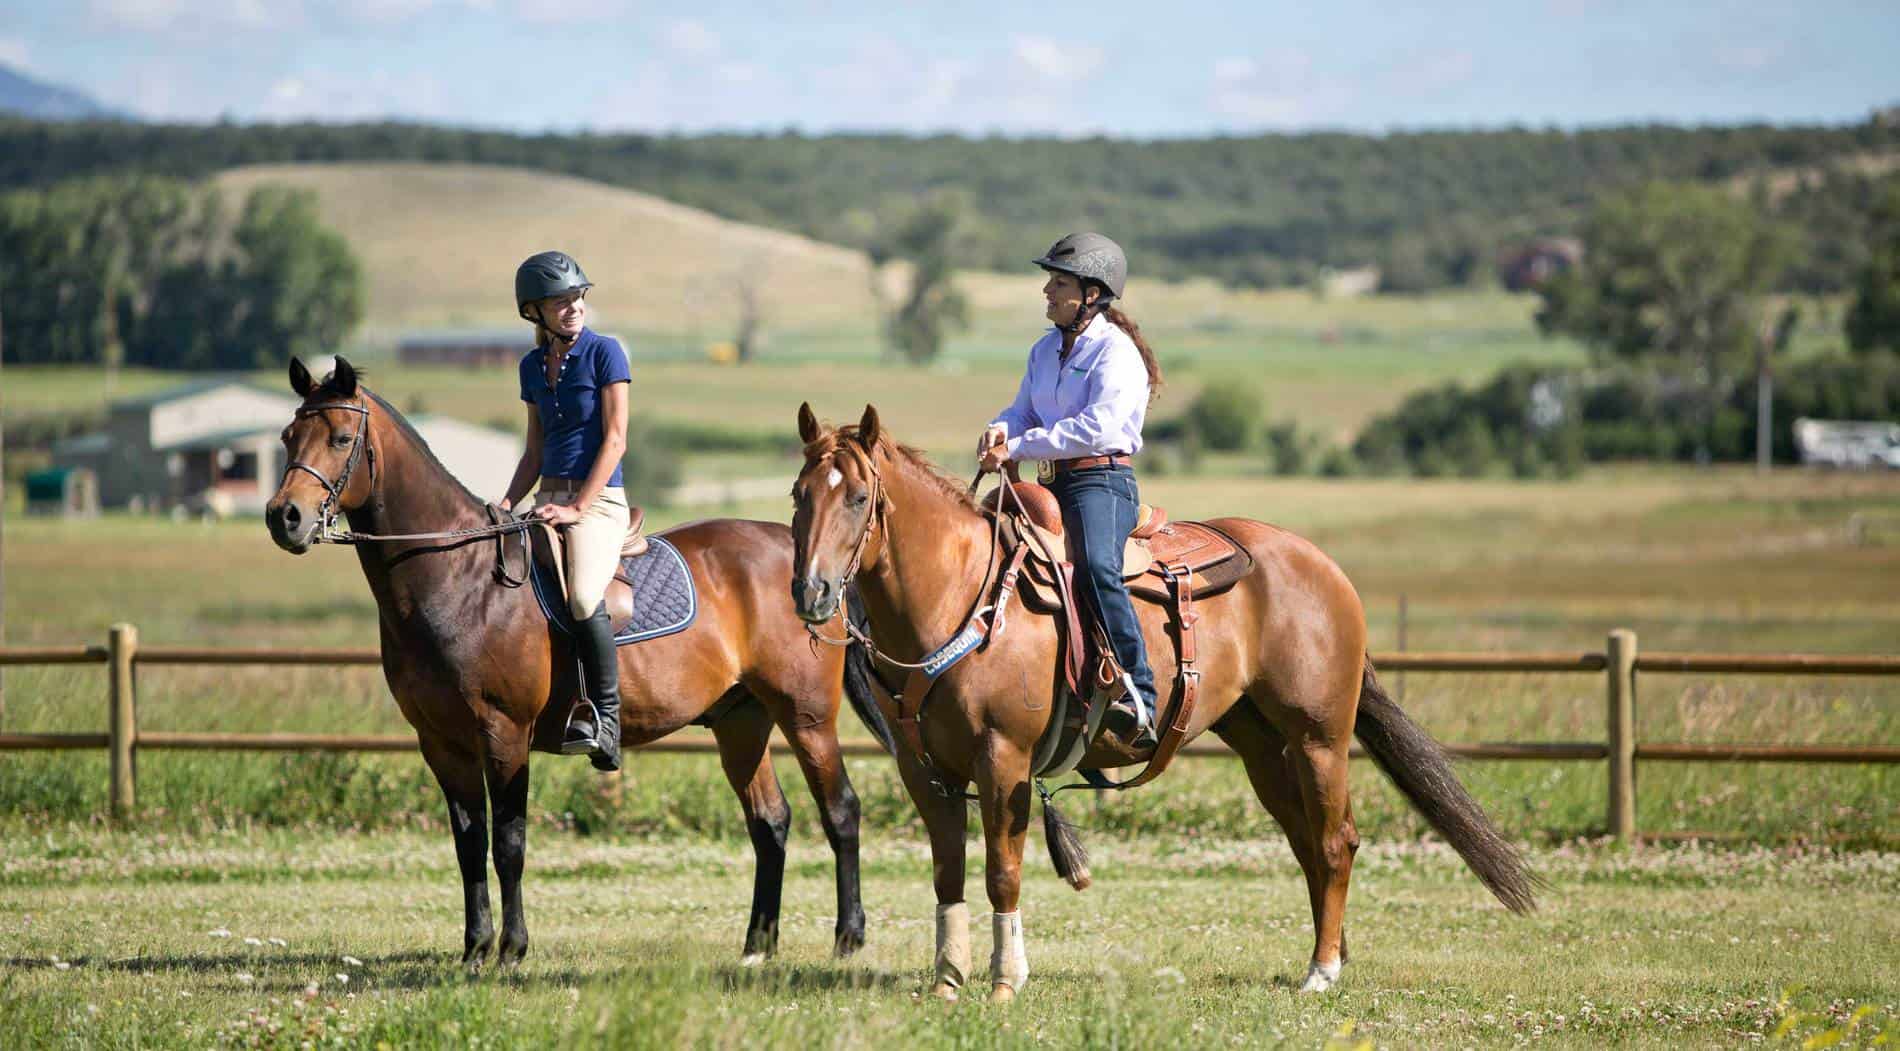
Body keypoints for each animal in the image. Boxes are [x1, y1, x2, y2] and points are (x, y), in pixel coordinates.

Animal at [260, 357, 889, 973]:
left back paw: (848, 938)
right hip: (741, 721)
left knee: (841, 811)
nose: (283, 517)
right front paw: (474, 951)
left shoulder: (503, 732)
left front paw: (511, 951)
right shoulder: (441, 741)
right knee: (769, 821)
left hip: (806, 718)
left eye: (341, 438)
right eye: (289, 436)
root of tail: (809, 562)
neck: (460, 578)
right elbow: (469, 844)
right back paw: (758, 945)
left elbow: (508, 842)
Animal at [786, 401, 1542, 1003]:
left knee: (1335, 839)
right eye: (799, 494)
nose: (812, 592)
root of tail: (1323, 567)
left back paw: (1322, 970)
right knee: (1307, 841)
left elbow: (1003, 872)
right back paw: (1335, 952)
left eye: (857, 497)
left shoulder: (1004, 762)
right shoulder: (927, 771)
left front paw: (1004, 983)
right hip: (1263, 746)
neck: (960, 597)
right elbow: (948, 874)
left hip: (1320, 737)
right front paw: (948, 981)